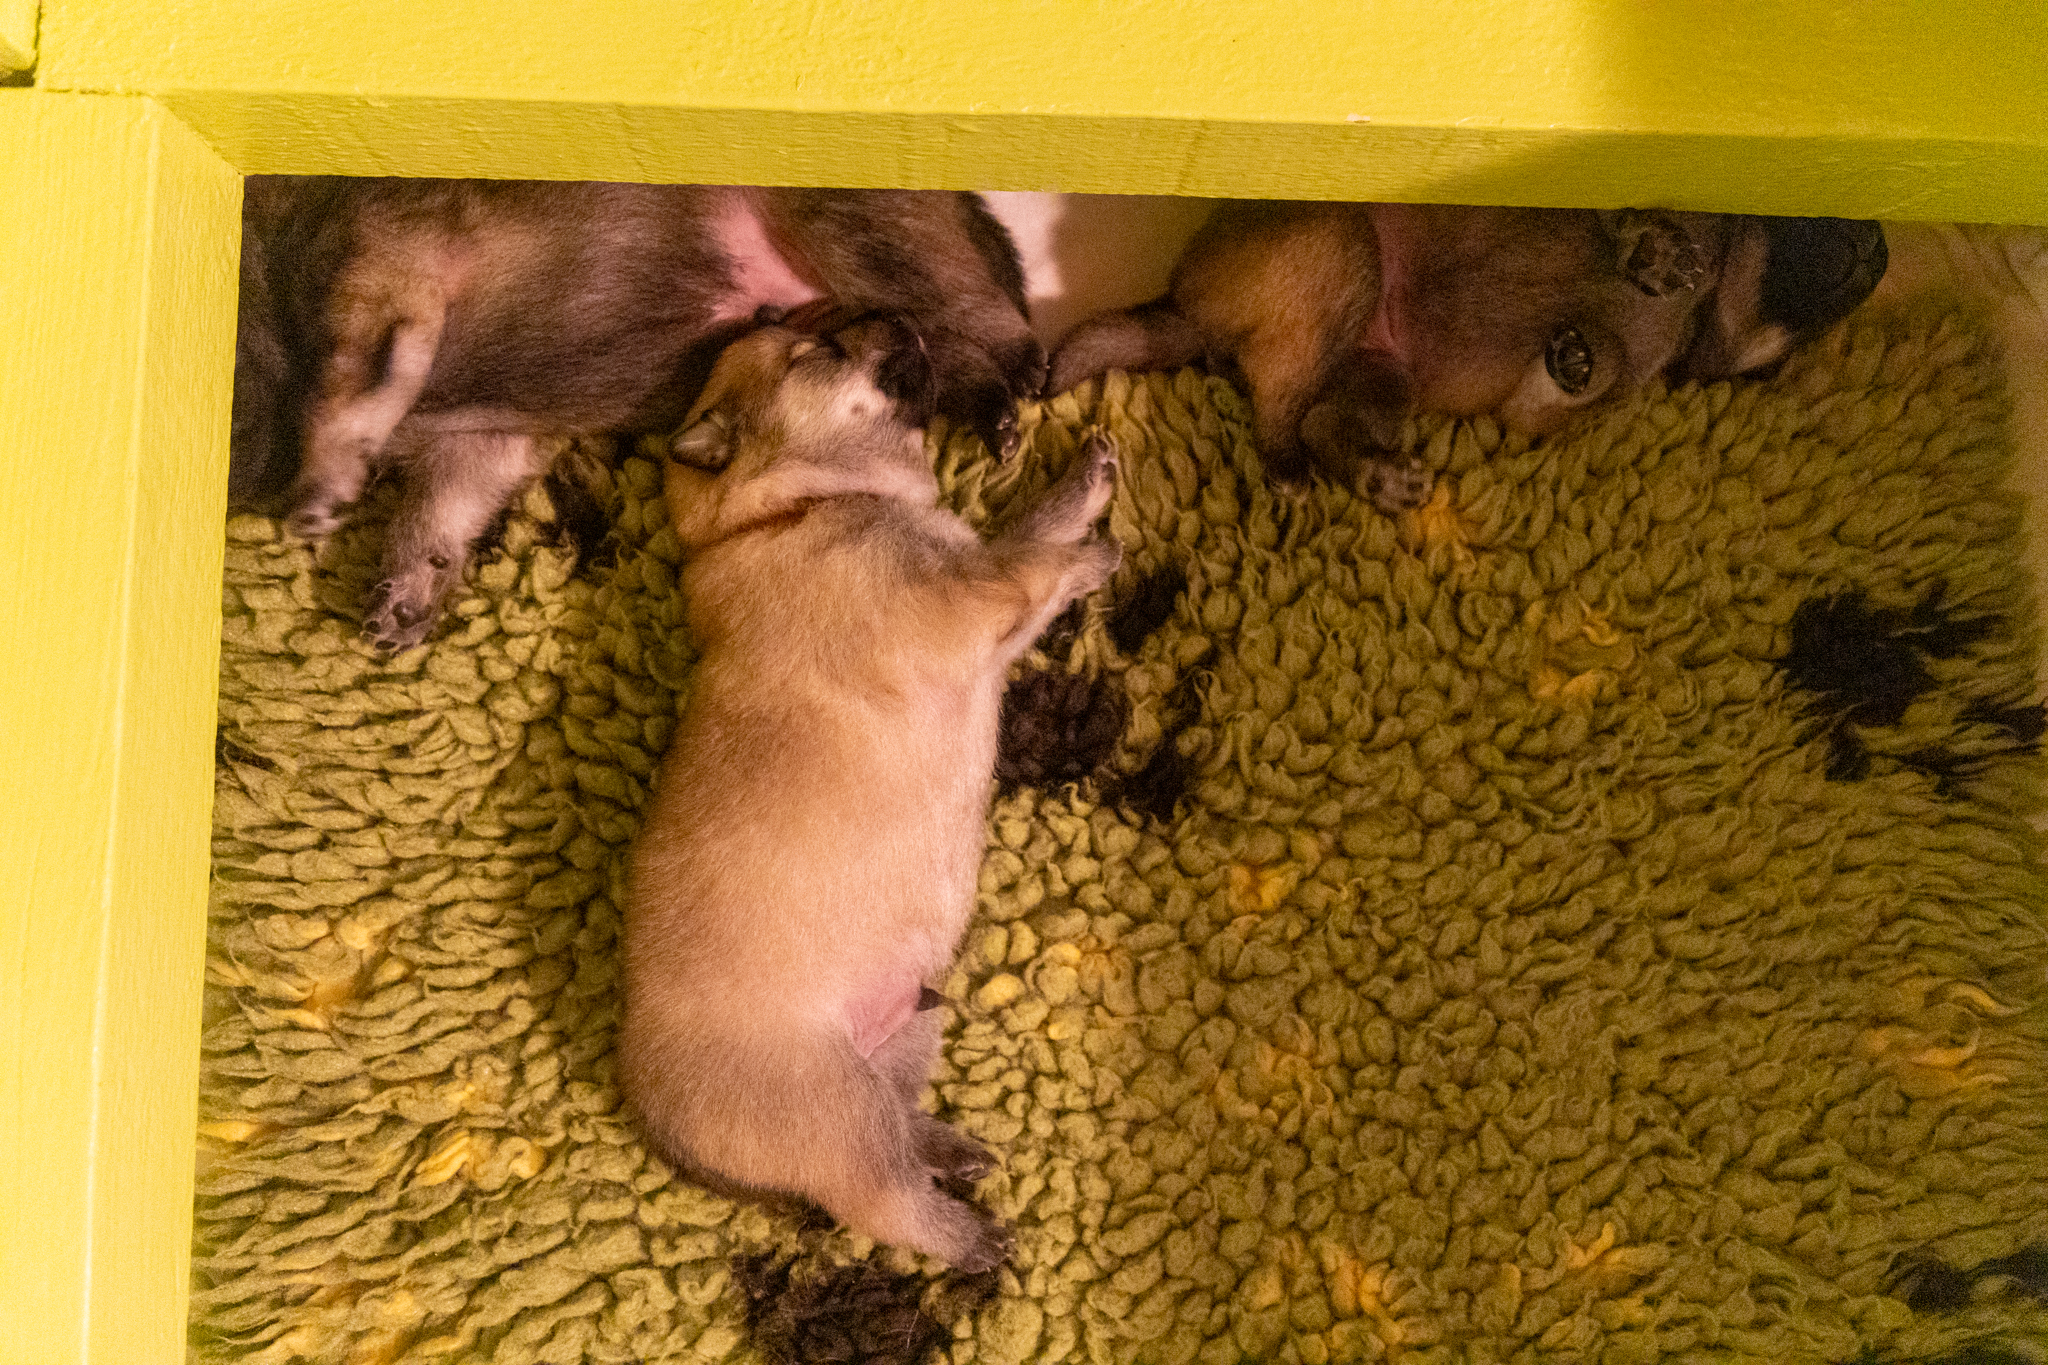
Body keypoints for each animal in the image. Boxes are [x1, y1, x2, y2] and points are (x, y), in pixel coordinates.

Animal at [230, 178, 1045, 650]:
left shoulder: (379, 283)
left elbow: (347, 394)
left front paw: (321, 493)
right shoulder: (487, 437)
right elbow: (438, 510)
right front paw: (405, 595)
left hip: (867, 244)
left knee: (980, 318)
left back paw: (1019, 388)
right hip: (863, 300)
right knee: (938, 349)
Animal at [618, 306, 1122, 1272]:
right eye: (817, 352)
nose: (898, 316)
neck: (784, 508)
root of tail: (654, 1116)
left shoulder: (988, 624)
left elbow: (1024, 532)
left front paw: (1083, 487)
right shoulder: (965, 601)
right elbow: (1026, 559)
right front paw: (1087, 555)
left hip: (910, 1023)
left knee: (904, 1120)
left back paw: (951, 1150)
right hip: (842, 1118)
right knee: (891, 1200)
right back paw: (972, 1239)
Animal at [1048, 201, 1888, 507]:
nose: (1880, 244)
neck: (1705, 299)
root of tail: (1184, 306)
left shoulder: (1535, 408)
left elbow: (1580, 377)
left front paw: (1584, 355)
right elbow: (1621, 221)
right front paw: (1645, 248)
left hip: (1384, 380)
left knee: (1319, 418)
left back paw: (1376, 475)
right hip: (1342, 251)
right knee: (1280, 409)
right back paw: (1289, 469)